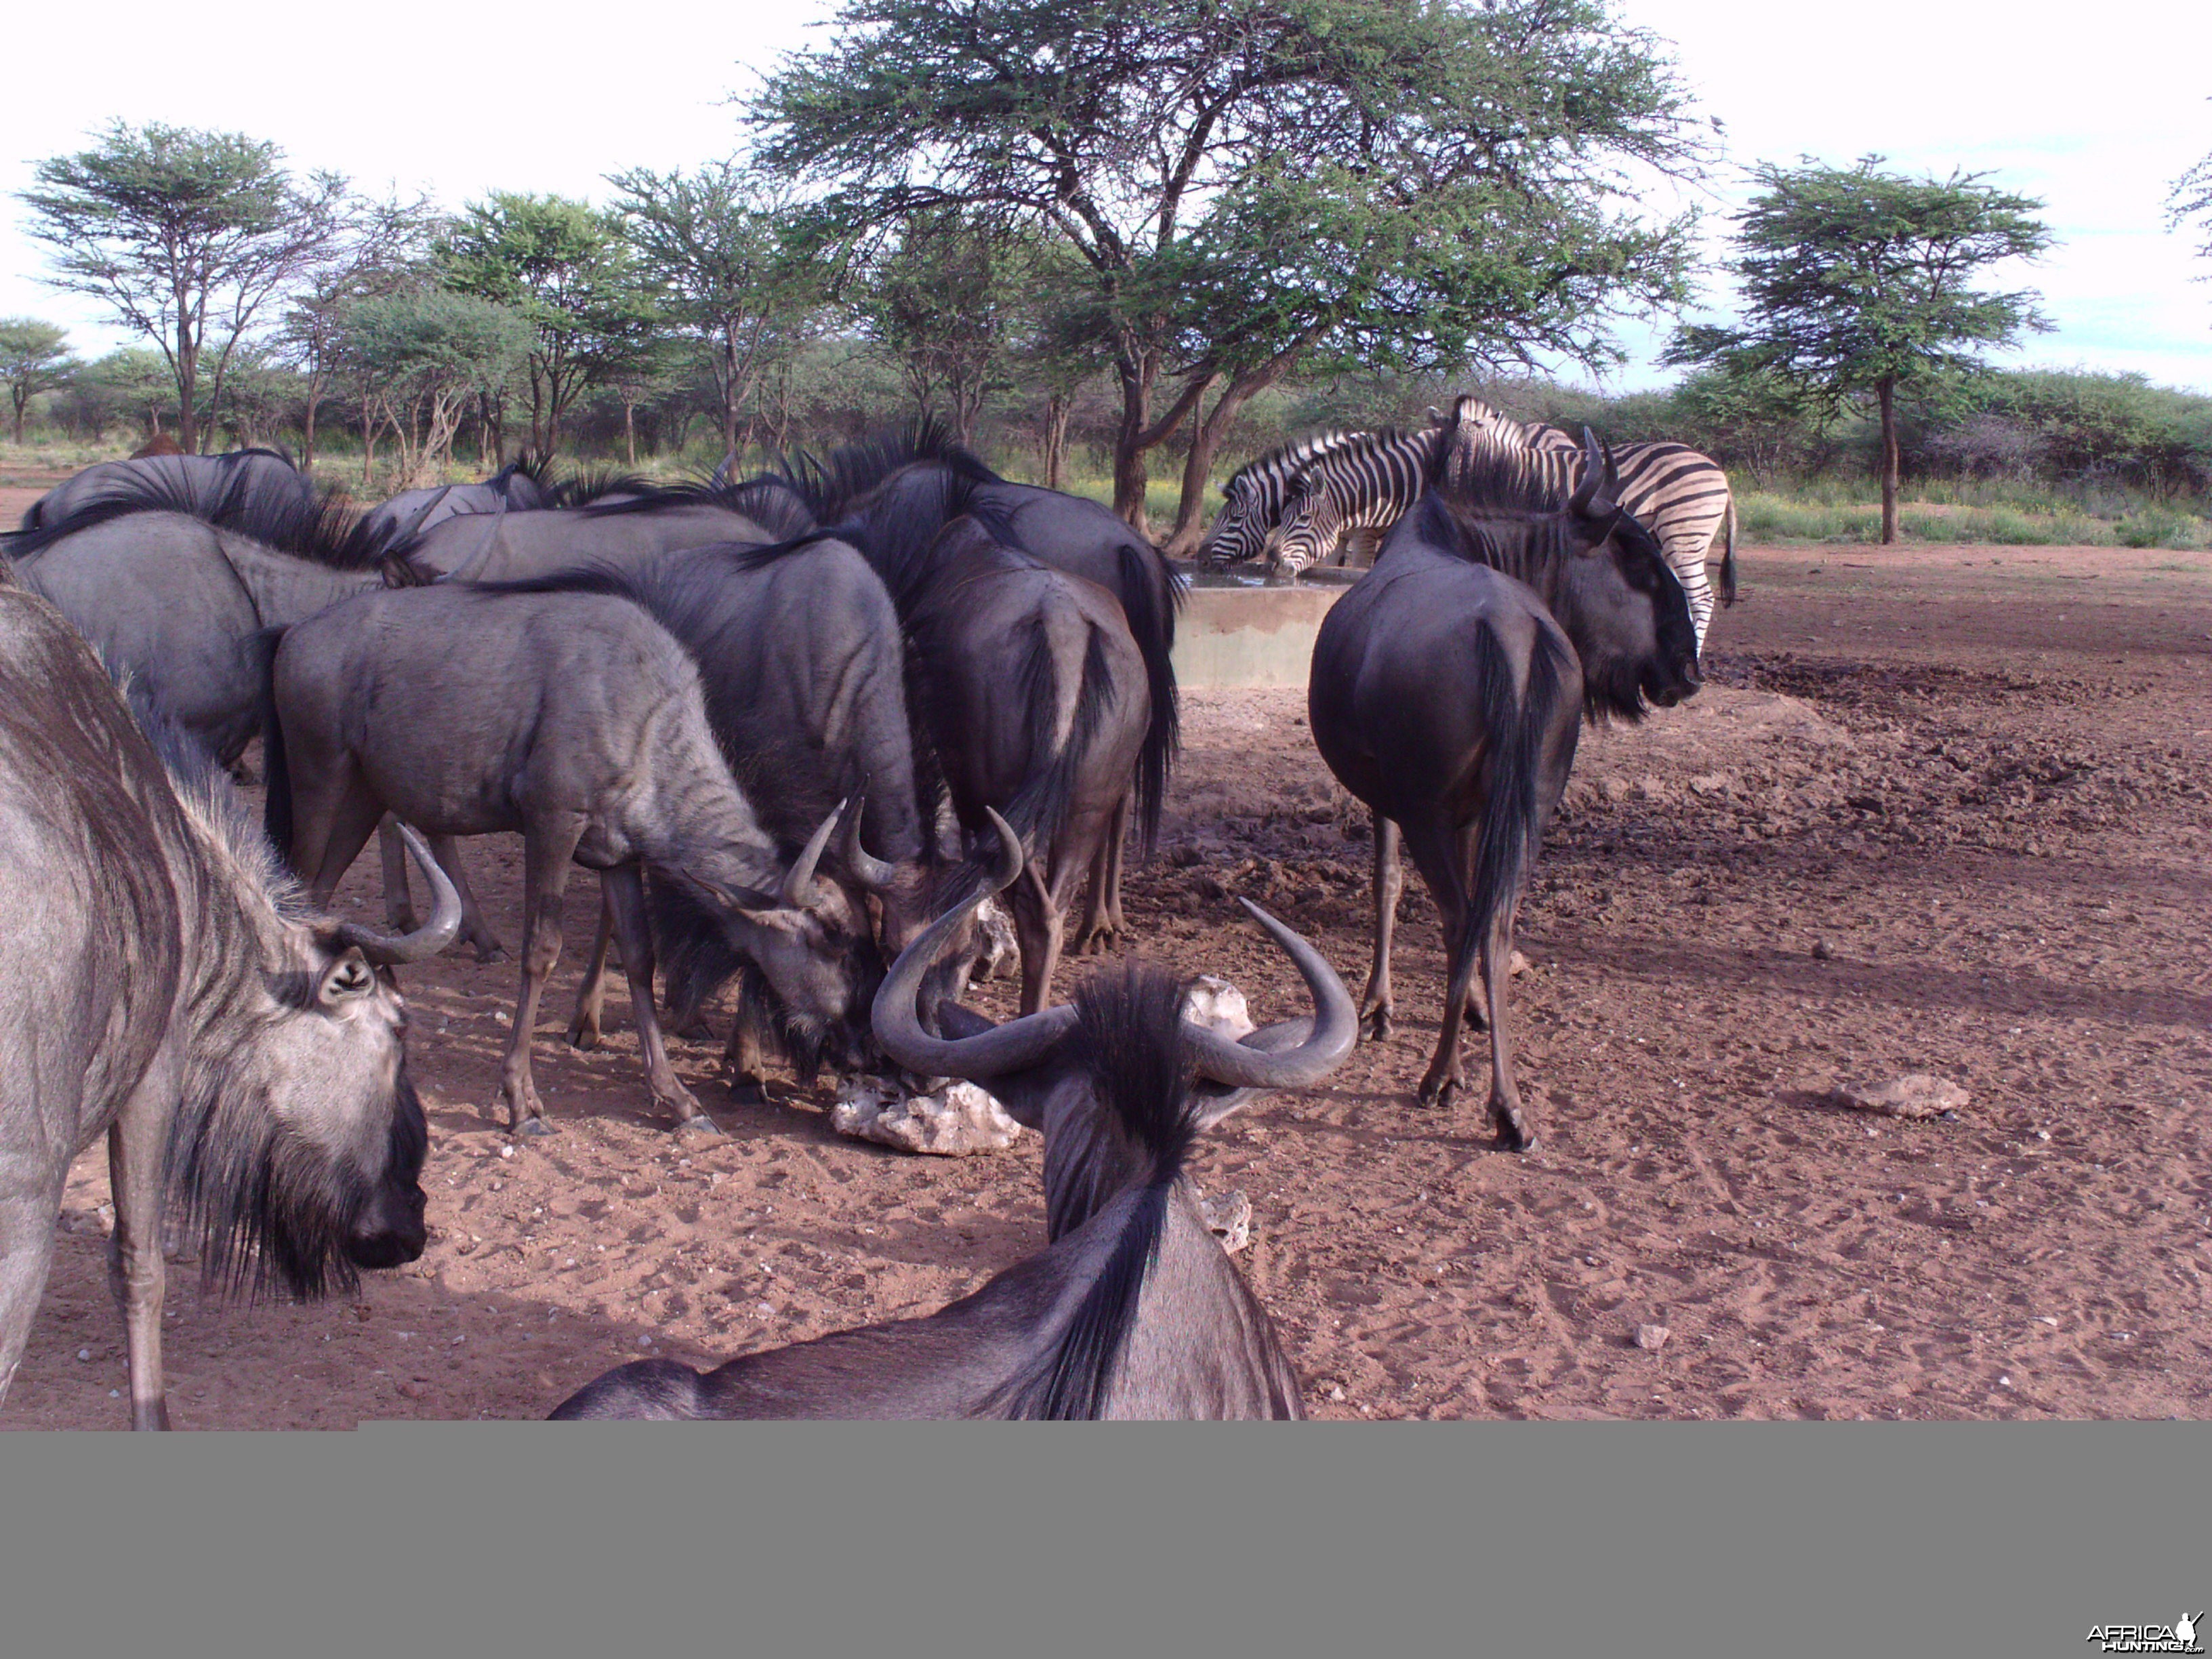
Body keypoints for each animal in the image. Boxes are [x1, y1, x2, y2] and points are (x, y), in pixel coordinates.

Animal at [1425, 396, 1734, 650]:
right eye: (1441, 448)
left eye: (1470, 456)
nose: (1444, 493)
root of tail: (1719, 472)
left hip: (1685, 534)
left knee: (1701, 597)